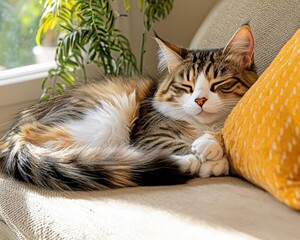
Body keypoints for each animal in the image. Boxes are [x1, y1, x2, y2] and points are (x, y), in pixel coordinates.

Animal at [0, 23, 258, 189]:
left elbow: (220, 133)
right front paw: (210, 157)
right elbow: (177, 143)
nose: (200, 100)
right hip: (106, 116)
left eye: (219, 84)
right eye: (186, 86)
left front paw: (212, 146)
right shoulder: (149, 133)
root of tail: (14, 131)